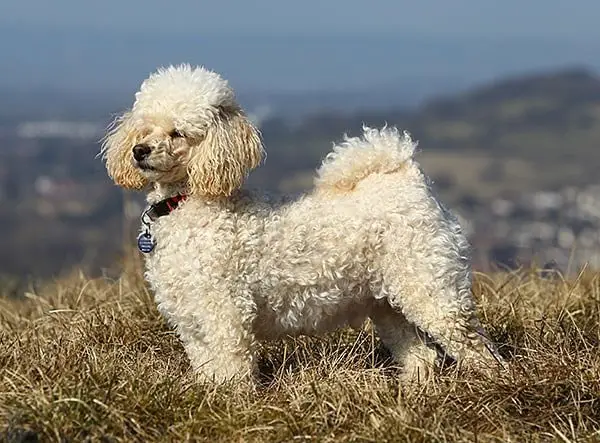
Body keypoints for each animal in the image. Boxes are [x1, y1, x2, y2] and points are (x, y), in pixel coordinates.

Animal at [101, 64, 504, 384]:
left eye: (178, 133)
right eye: (144, 129)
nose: (139, 151)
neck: (187, 204)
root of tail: (407, 178)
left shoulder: (225, 312)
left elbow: (231, 366)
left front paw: (229, 403)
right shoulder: (192, 318)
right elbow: (206, 365)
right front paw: (206, 395)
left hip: (432, 288)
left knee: (475, 346)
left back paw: (493, 383)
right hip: (388, 301)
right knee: (421, 352)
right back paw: (415, 391)